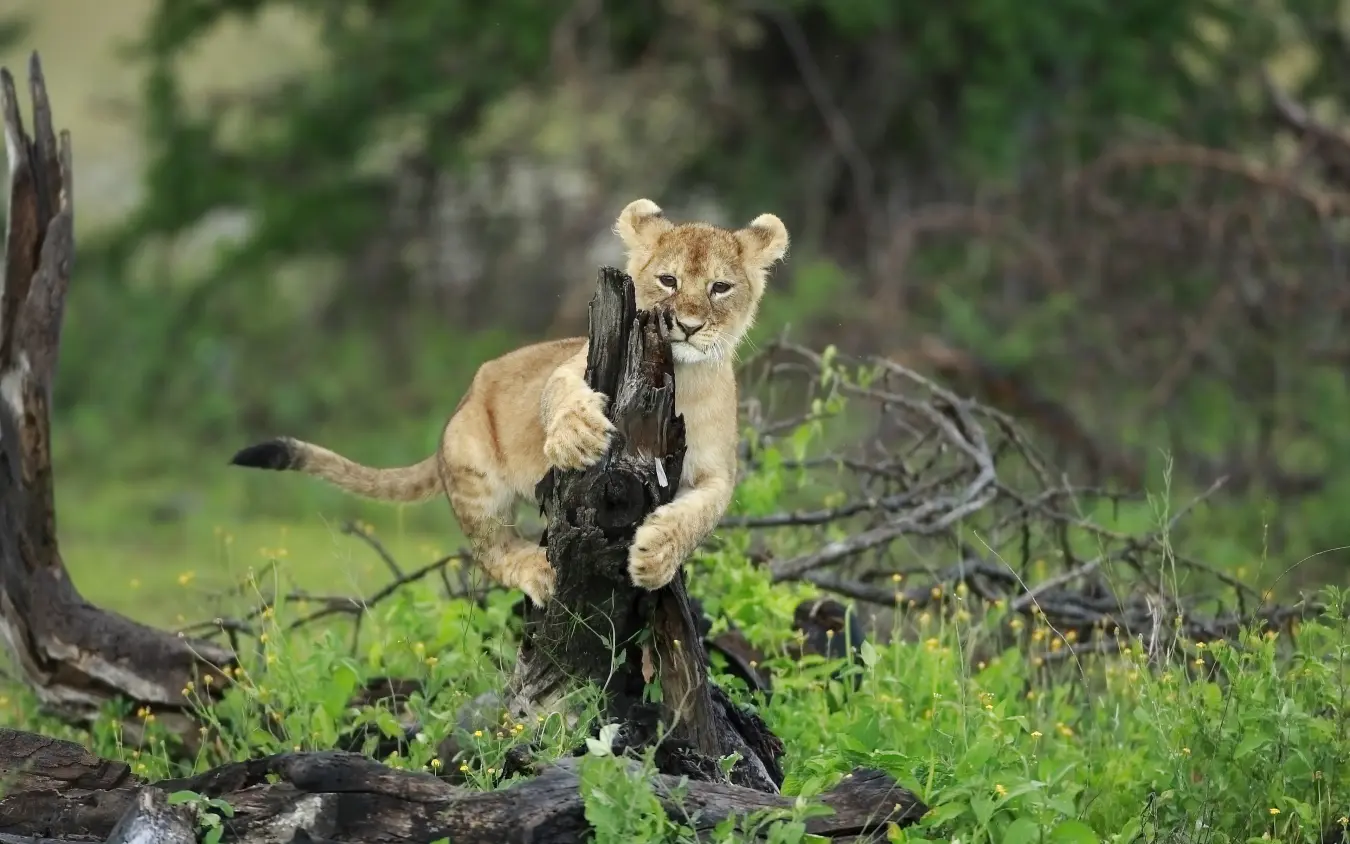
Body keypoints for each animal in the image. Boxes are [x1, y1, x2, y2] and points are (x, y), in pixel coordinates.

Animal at [229, 199, 789, 606]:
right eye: (668, 280)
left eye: (720, 288)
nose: (689, 326)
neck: (684, 378)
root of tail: (455, 412)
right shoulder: (571, 366)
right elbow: (559, 393)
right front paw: (577, 436)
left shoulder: (719, 471)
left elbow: (699, 516)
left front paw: (653, 559)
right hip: (472, 465)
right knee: (489, 551)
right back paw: (535, 570)